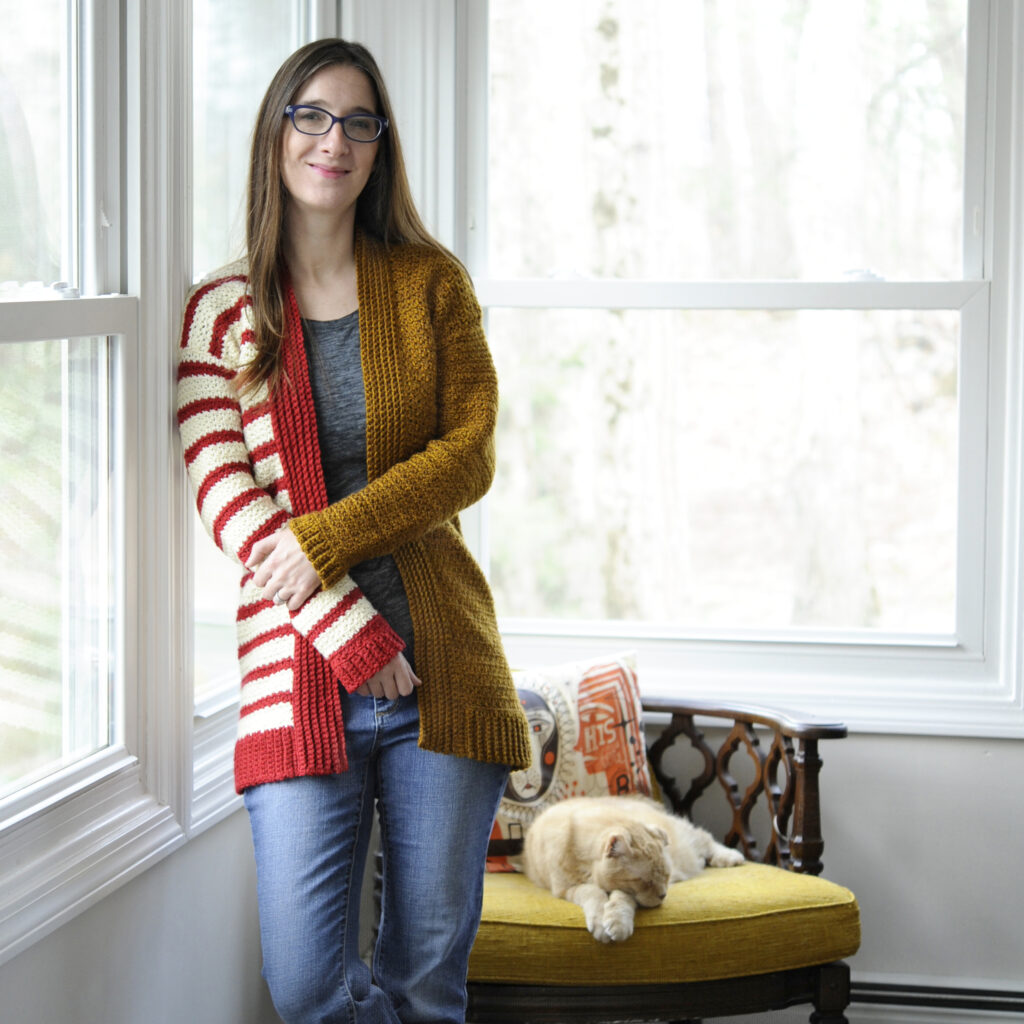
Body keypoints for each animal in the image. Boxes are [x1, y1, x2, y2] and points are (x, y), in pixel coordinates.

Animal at [524, 790, 741, 942]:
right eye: (646, 882)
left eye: (666, 877)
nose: (663, 895)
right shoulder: (565, 889)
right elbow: (593, 893)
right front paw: (601, 923)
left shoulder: (626, 891)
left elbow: (621, 899)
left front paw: (617, 923)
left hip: (688, 840)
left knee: (706, 840)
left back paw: (730, 857)